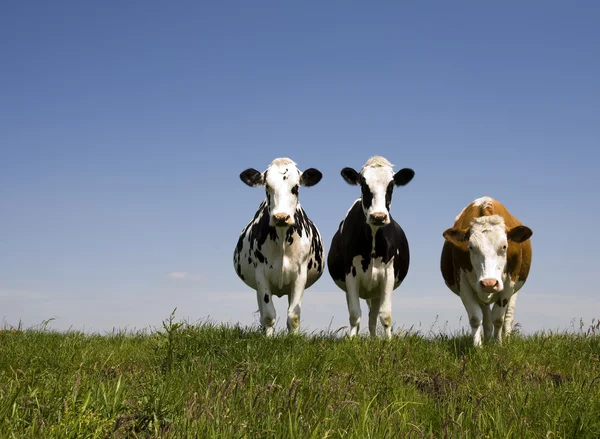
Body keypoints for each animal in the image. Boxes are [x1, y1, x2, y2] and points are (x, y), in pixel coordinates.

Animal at [233, 158, 326, 336]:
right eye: (267, 186)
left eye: (296, 187)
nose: (281, 217)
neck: (283, 239)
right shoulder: (261, 274)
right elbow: (269, 315)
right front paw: (269, 338)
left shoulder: (300, 275)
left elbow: (293, 315)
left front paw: (294, 339)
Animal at [326, 156, 414, 338]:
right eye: (363, 184)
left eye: (391, 185)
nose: (378, 216)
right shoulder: (350, 274)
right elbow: (354, 314)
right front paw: (352, 339)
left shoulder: (388, 274)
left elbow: (385, 315)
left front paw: (388, 341)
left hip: (376, 291)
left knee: (373, 317)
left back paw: (374, 339)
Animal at [440, 197, 536, 348]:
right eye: (471, 247)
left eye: (504, 246)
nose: (489, 283)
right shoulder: (463, 282)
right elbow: (475, 318)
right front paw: (478, 347)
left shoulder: (509, 284)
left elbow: (498, 318)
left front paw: (498, 344)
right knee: (486, 318)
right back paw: (487, 338)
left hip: (514, 290)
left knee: (508, 317)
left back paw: (506, 338)